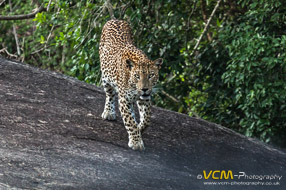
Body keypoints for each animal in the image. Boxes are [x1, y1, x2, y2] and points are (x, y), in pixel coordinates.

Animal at [99, 19, 163, 150]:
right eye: (137, 76)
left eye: (151, 75)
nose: (144, 89)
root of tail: (115, 19)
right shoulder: (124, 99)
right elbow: (130, 121)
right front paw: (136, 141)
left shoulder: (145, 99)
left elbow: (146, 119)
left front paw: (139, 128)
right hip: (105, 77)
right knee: (110, 95)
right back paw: (109, 112)